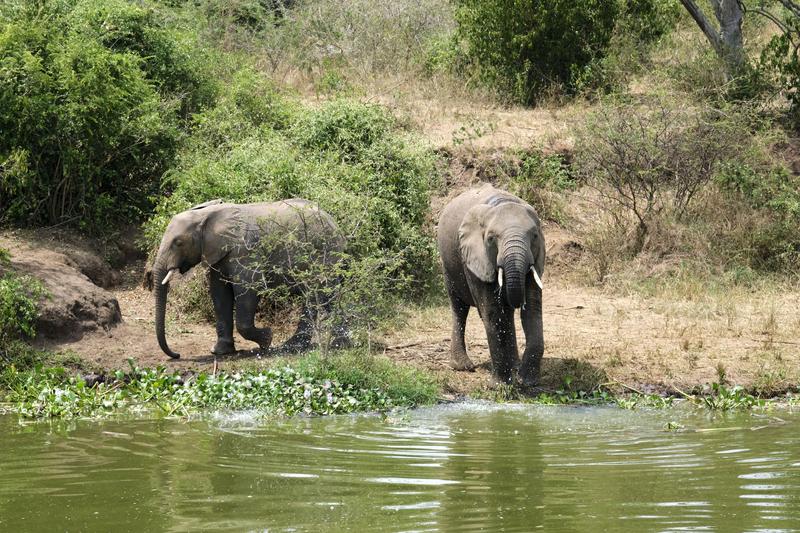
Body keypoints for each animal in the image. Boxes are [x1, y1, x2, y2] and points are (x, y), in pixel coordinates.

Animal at [145, 197, 346, 360]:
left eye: (178, 242)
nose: (177, 355)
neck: (206, 215)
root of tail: (334, 223)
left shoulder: (245, 252)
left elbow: (248, 291)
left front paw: (267, 340)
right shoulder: (219, 255)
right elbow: (219, 294)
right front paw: (220, 352)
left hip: (325, 253)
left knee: (320, 296)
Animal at [438, 185, 544, 384]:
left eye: (534, 236)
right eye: (491, 239)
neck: (502, 202)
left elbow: (532, 309)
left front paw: (527, 381)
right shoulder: (476, 256)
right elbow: (493, 311)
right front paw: (501, 384)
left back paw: (515, 365)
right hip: (448, 261)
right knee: (459, 308)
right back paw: (463, 366)